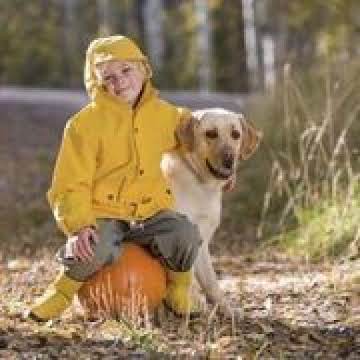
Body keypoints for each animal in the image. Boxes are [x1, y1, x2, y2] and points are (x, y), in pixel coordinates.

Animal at [162, 107, 260, 318]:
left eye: (235, 134)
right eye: (211, 133)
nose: (229, 159)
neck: (202, 184)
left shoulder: (202, 241)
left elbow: (211, 282)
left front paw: (226, 310)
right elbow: (187, 275)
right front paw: (191, 302)